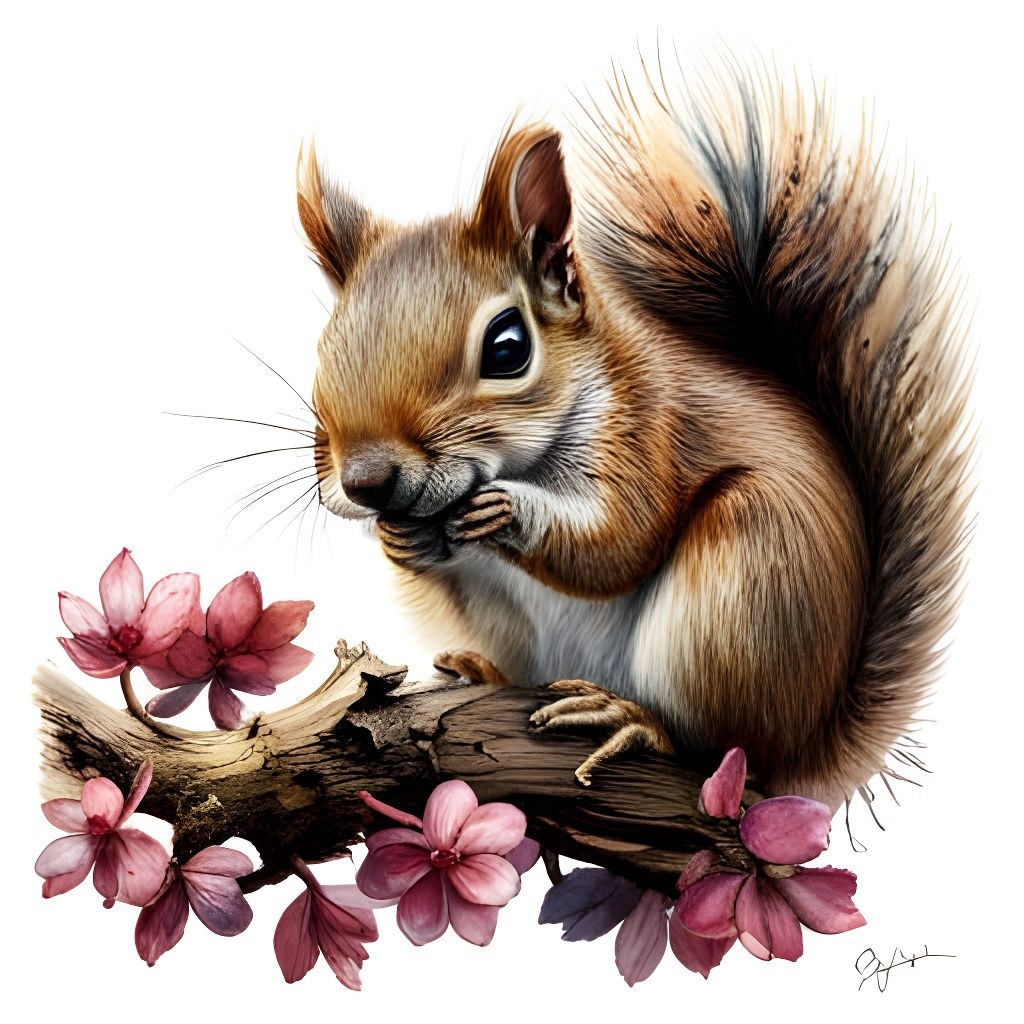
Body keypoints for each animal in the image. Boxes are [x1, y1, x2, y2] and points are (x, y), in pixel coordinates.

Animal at [296, 67, 972, 811]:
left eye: (507, 348)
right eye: (321, 350)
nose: (367, 482)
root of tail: (806, 746)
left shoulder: (651, 428)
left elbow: (621, 542)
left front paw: (507, 510)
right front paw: (404, 541)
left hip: (746, 582)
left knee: (717, 745)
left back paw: (630, 718)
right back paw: (480, 670)